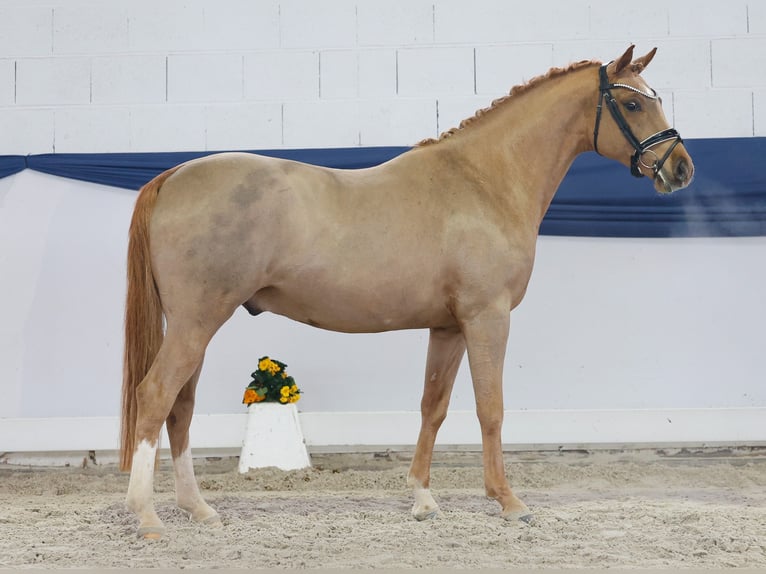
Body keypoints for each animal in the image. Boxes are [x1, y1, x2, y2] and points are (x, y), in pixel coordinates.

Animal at [120, 45, 694, 538]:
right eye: (633, 101)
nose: (681, 167)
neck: (483, 181)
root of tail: (173, 175)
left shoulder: (448, 326)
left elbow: (432, 407)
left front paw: (422, 499)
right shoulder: (488, 318)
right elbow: (490, 407)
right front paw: (509, 502)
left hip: (195, 324)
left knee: (181, 406)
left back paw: (198, 509)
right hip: (197, 321)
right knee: (155, 396)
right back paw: (147, 516)